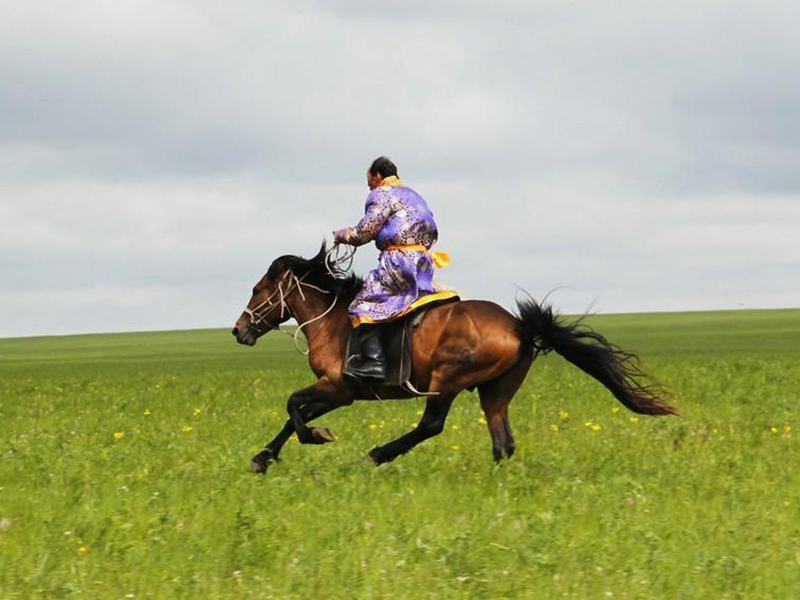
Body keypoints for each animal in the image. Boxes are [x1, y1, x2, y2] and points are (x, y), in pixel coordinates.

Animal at [230, 244, 676, 474]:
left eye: (257, 290)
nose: (238, 330)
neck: (335, 320)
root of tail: (518, 326)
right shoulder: (340, 393)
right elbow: (294, 415)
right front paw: (263, 458)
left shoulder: (338, 388)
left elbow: (294, 408)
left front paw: (315, 438)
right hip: (495, 391)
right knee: (503, 442)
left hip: (446, 381)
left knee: (431, 425)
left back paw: (376, 455)